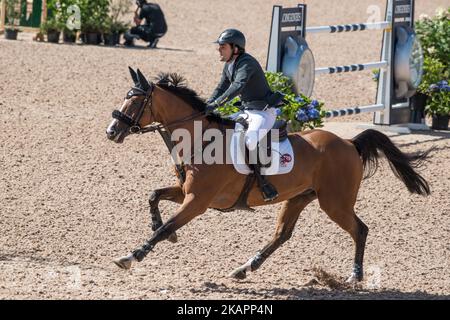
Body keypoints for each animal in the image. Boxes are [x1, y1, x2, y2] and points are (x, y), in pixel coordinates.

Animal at [106, 68, 432, 282]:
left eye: (135, 101)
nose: (111, 132)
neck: (200, 140)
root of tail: (349, 143)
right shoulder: (186, 192)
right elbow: (154, 197)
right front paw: (161, 231)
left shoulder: (197, 201)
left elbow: (164, 228)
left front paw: (131, 257)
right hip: (299, 198)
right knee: (281, 235)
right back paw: (244, 268)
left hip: (335, 203)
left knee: (360, 230)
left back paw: (355, 276)